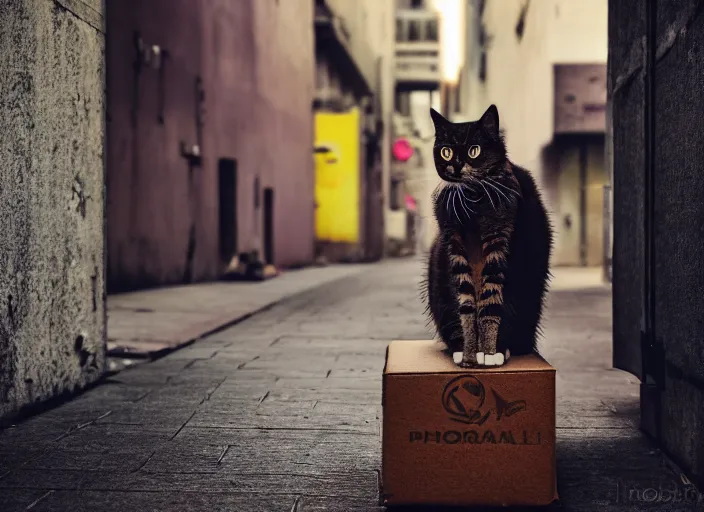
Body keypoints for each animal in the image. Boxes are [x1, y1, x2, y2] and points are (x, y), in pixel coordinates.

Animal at [420, 105, 552, 368]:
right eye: (446, 152)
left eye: (474, 150)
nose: (456, 167)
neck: (474, 201)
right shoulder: (454, 243)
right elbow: (465, 302)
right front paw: (468, 353)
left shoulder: (502, 243)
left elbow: (493, 299)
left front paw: (493, 352)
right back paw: (457, 347)